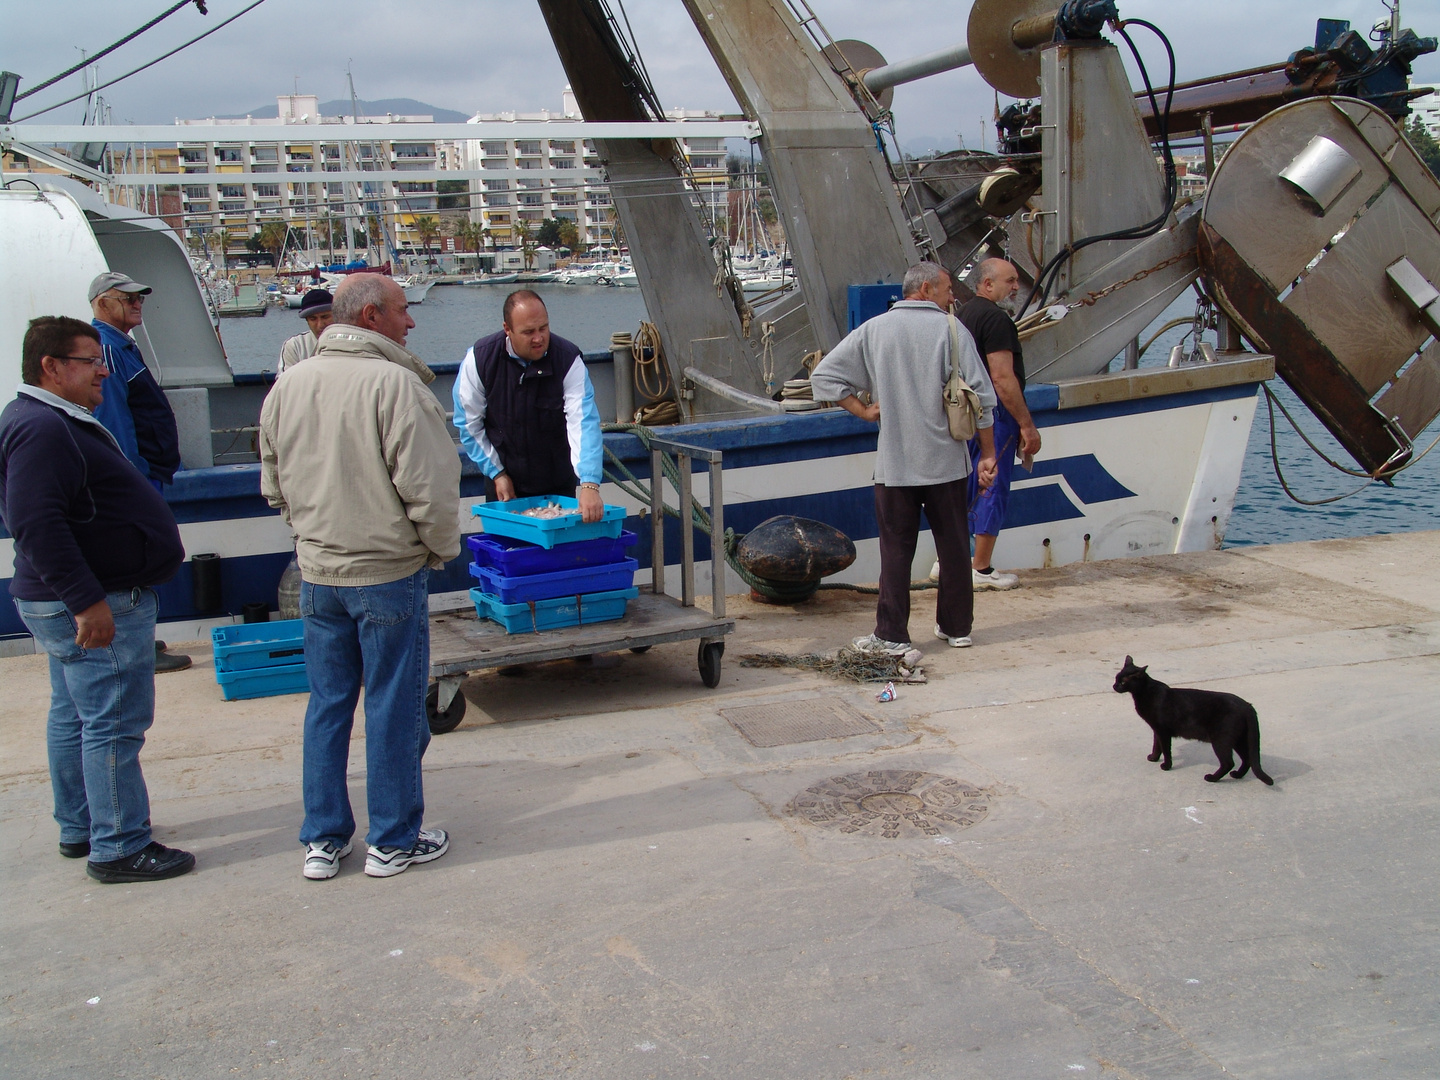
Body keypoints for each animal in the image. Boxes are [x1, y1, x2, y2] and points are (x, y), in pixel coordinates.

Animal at [1111, 659, 1272, 789]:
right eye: (1116, 678)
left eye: (1123, 682)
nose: (1114, 686)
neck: (1145, 692)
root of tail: (1247, 705)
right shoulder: (1156, 729)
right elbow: (1157, 745)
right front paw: (1153, 758)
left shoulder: (1163, 731)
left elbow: (1166, 750)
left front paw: (1166, 766)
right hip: (1238, 739)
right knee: (1247, 759)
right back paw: (1237, 775)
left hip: (1221, 740)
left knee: (1228, 762)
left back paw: (1212, 778)